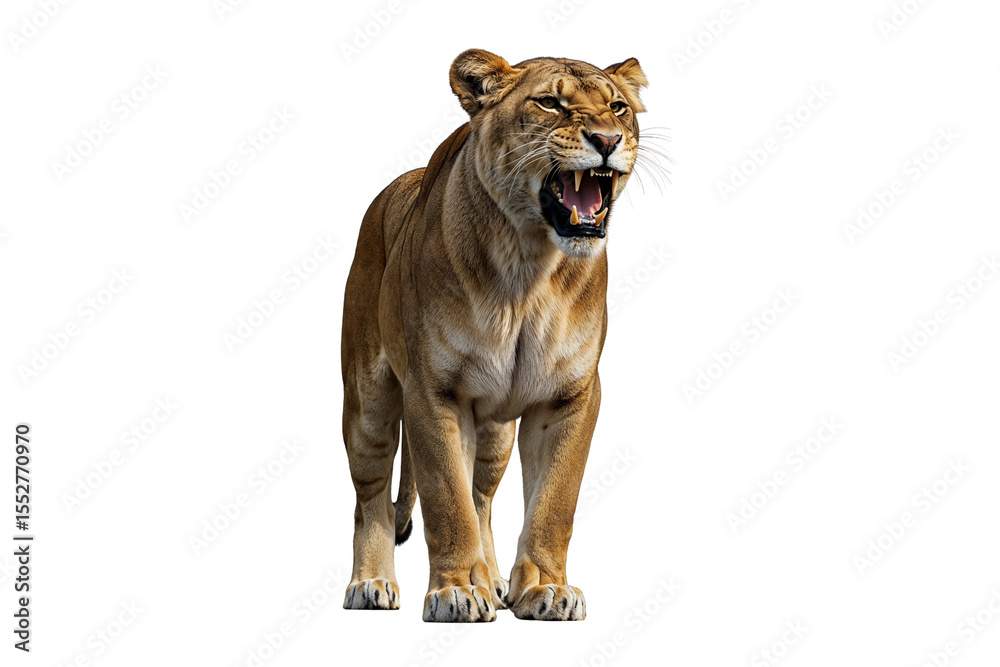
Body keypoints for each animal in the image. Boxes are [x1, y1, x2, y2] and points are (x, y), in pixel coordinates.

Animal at [341, 49, 648, 622]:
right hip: (368, 404)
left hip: (495, 434)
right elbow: (447, 500)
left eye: (618, 107)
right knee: (371, 498)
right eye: (549, 102)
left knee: (481, 497)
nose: (607, 139)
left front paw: (546, 588)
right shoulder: (434, 391)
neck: (530, 266)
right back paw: (371, 583)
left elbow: (554, 501)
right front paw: (456, 592)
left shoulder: (570, 396)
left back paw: (496, 580)